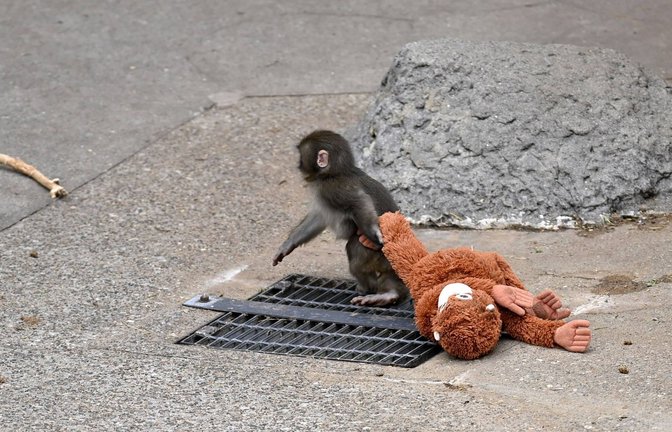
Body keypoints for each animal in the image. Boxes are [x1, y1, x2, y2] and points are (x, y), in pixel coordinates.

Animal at [272, 130, 408, 307]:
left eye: (301, 157)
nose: (298, 165)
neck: (334, 173)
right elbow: (318, 218)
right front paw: (288, 244)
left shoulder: (332, 188)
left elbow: (359, 202)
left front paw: (376, 232)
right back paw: (389, 295)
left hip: (375, 254)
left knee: (354, 251)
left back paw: (368, 287)